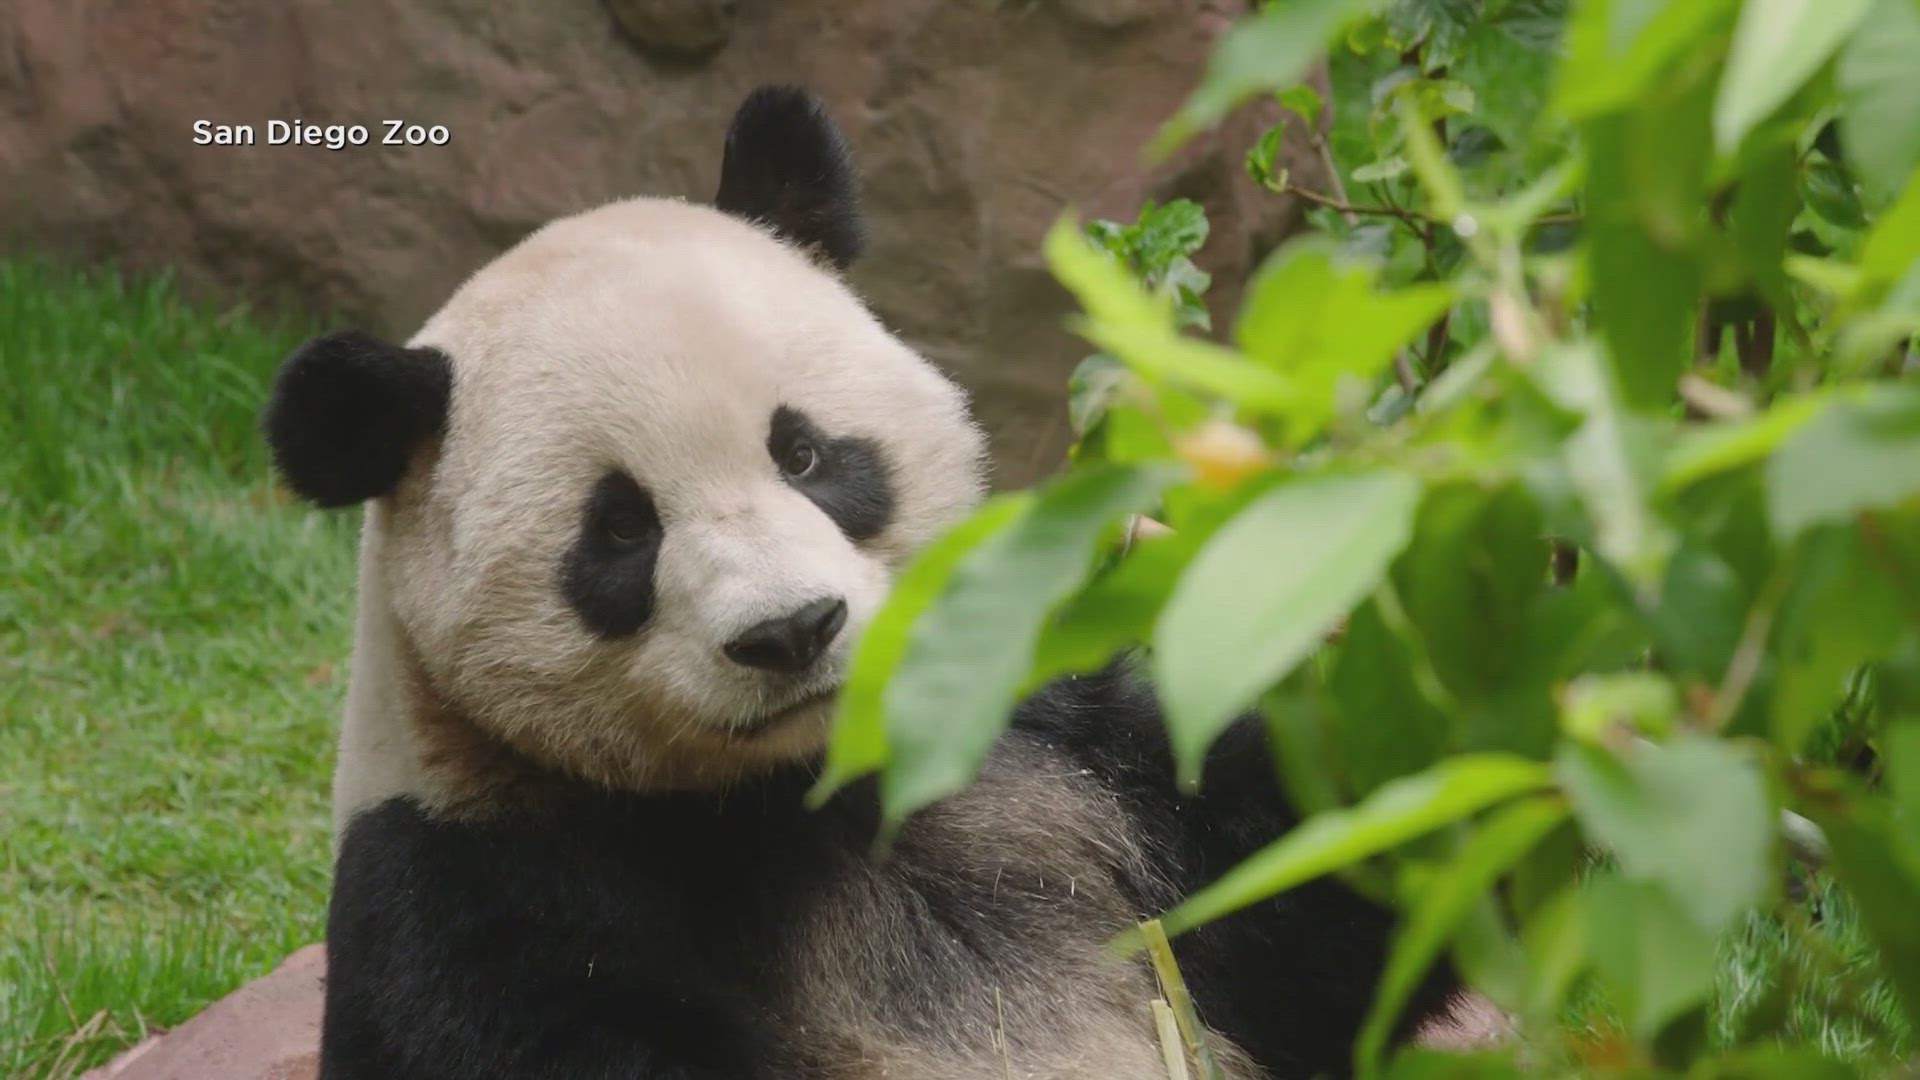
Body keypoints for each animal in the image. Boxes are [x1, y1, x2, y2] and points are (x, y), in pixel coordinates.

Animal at [263, 84, 1443, 1076]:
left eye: (805, 454)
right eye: (621, 531)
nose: (793, 630)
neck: (813, 783)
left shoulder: (1053, 742)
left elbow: (1315, 888)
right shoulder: (479, 882)